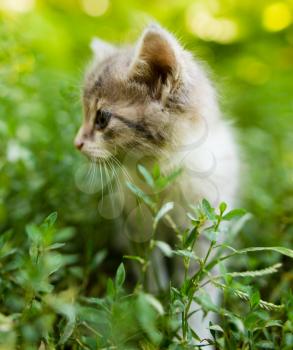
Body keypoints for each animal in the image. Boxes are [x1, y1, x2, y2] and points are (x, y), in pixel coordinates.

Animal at [74, 23, 238, 344]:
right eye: (85, 113)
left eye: (102, 118)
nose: (77, 143)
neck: (160, 171)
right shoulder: (136, 225)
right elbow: (148, 267)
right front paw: (153, 307)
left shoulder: (206, 231)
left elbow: (200, 291)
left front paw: (194, 338)